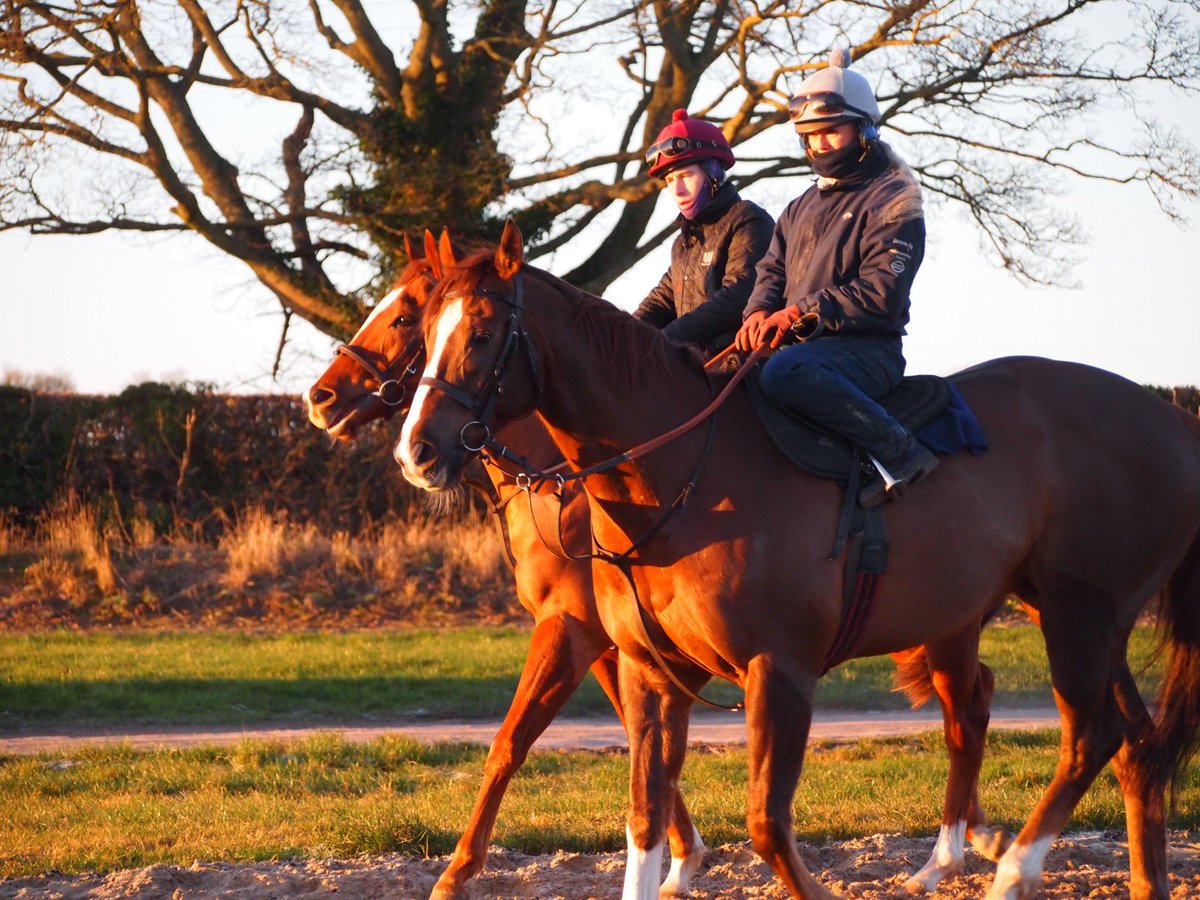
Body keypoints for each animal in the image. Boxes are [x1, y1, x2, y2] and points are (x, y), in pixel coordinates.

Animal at [307, 230, 1012, 897]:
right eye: (426, 326)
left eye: (407, 316)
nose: (321, 397)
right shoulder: (624, 644)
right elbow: (634, 743)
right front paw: (677, 858)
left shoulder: (574, 629)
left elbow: (516, 740)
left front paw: (459, 872)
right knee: (974, 698)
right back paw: (975, 838)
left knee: (967, 707)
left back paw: (957, 848)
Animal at [396, 220, 1200, 900]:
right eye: (424, 328)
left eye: (482, 332)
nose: (418, 451)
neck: (687, 473)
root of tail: (1170, 416)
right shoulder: (648, 671)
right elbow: (641, 818)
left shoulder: (776, 671)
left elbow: (766, 825)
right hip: (1070, 618)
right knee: (1127, 742)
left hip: (1079, 616)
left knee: (1090, 736)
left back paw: (1010, 871)